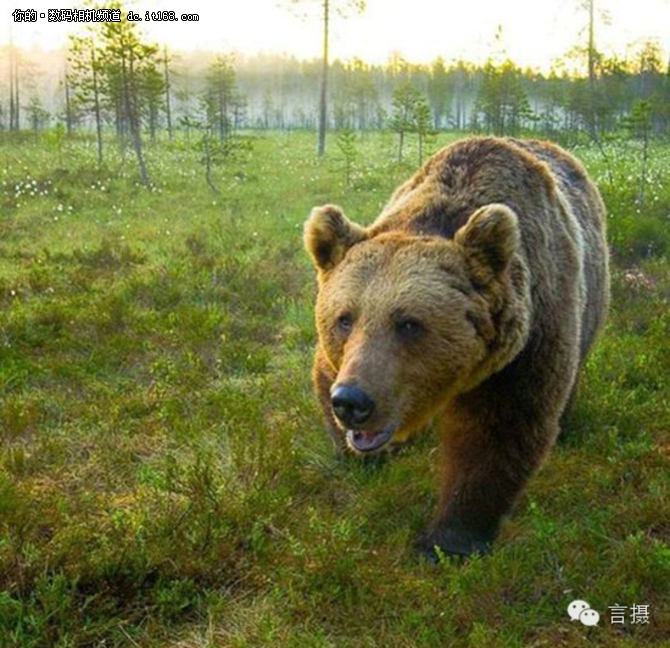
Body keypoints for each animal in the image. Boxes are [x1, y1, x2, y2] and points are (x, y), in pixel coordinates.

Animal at [308, 135, 612, 556]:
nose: (353, 402)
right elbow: (325, 377)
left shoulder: (524, 344)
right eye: (344, 318)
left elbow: (498, 432)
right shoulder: (339, 359)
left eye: (408, 323)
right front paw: (361, 457)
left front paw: (448, 540)